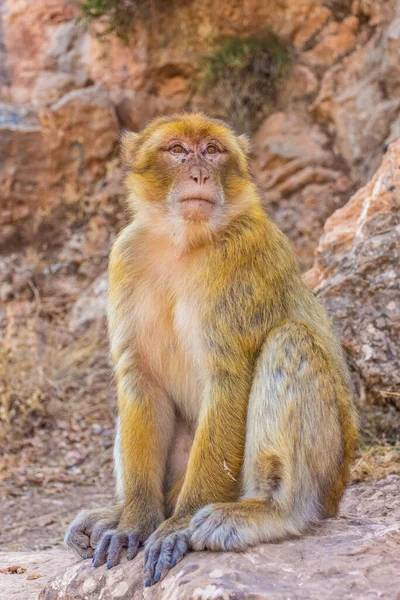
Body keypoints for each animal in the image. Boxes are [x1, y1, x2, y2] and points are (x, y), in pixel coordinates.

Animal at [64, 112, 358, 584]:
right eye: (178, 150)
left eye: (213, 151)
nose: (200, 173)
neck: (183, 242)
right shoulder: (125, 255)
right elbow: (140, 378)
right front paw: (134, 521)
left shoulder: (243, 255)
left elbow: (229, 378)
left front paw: (178, 526)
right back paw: (119, 512)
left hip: (328, 473)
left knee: (288, 341)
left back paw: (269, 511)